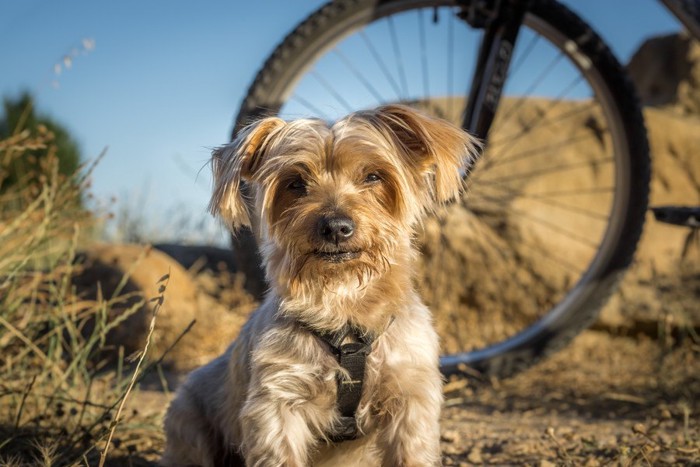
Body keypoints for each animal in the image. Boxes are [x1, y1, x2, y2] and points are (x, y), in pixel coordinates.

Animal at [163, 104, 478, 466]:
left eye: (373, 176)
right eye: (295, 183)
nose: (336, 226)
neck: (344, 305)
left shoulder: (409, 396)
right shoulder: (278, 400)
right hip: (188, 418)